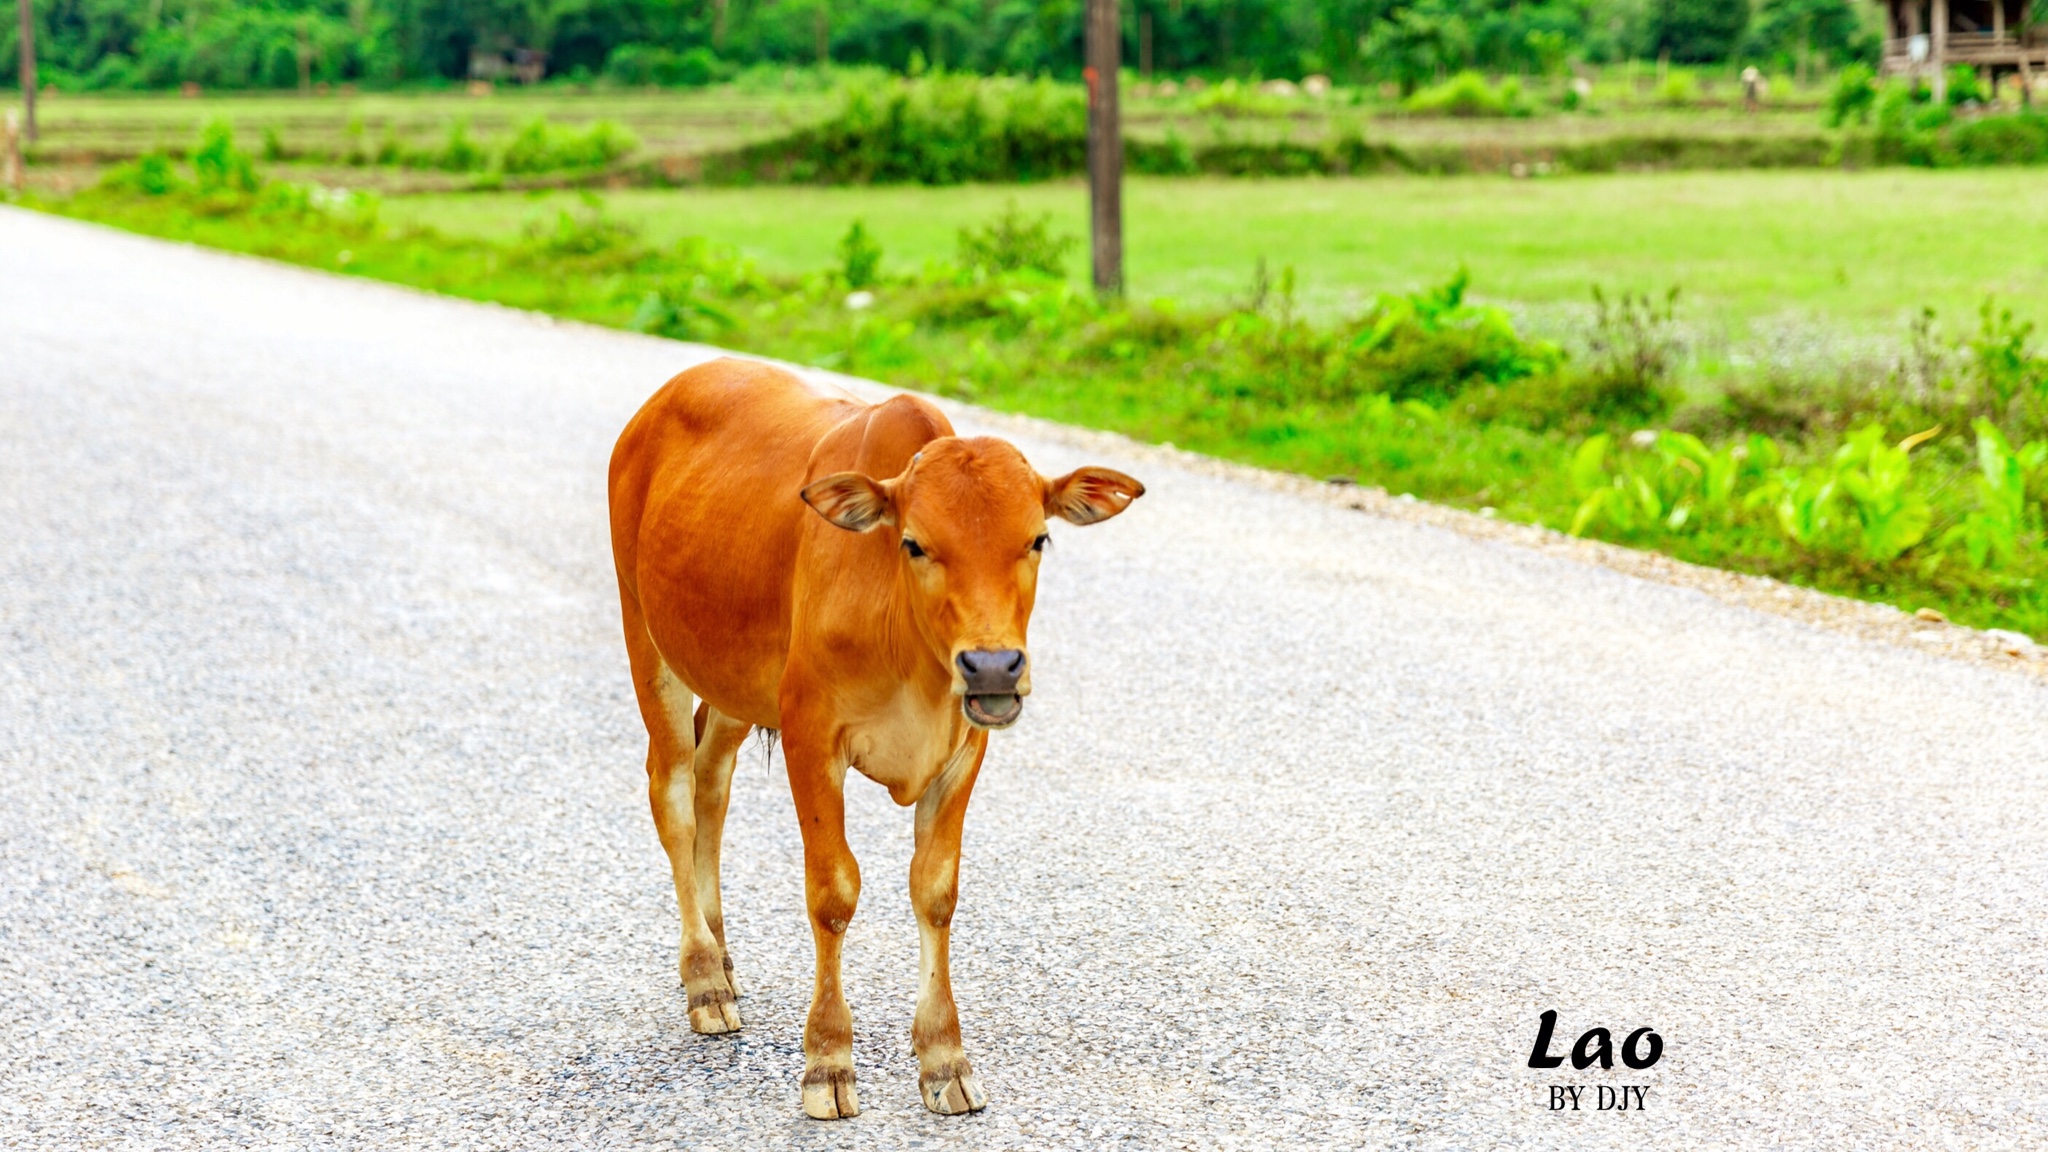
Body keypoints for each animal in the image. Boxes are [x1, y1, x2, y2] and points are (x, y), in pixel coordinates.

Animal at [606, 356, 1155, 1115]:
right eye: (914, 543)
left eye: (1037, 539)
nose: (993, 666)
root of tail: (662, 399)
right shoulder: (811, 736)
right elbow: (833, 893)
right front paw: (828, 1060)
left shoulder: (963, 749)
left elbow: (936, 891)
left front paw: (945, 1058)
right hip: (647, 638)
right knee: (675, 794)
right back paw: (704, 979)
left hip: (732, 683)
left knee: (713, 787)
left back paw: (723, 956)